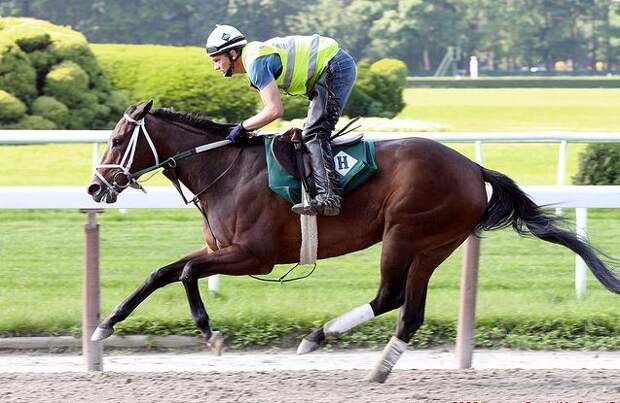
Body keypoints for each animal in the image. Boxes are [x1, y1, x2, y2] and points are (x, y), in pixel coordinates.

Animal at [87, 100, 620, 382]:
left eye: (117, 140)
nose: (95, 188)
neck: (226, 170)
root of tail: (473, 167)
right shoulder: (223, 250)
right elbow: (162, 272)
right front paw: (105, 325)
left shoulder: (253, 256)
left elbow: (186, 272)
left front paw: (209, 333)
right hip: (434, 245)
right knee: (410, 310)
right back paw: (378, 368)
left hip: (405, 233)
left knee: (389, 297)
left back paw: (317, 338)